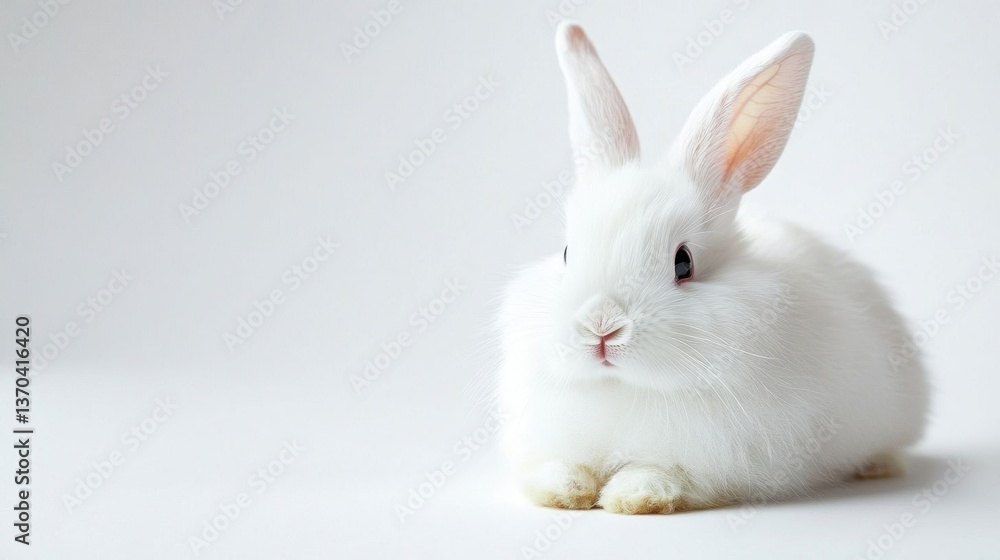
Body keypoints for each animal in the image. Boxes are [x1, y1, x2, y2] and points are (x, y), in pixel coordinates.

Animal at [497, 21, 930, 514]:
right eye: (568, 252)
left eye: (683, 262)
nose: (601, 327)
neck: (627, 387)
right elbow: (560, 466)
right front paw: (564, 492)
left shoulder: (721, 463)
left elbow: (665, 473)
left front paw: (634, 496)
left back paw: (878, 466)